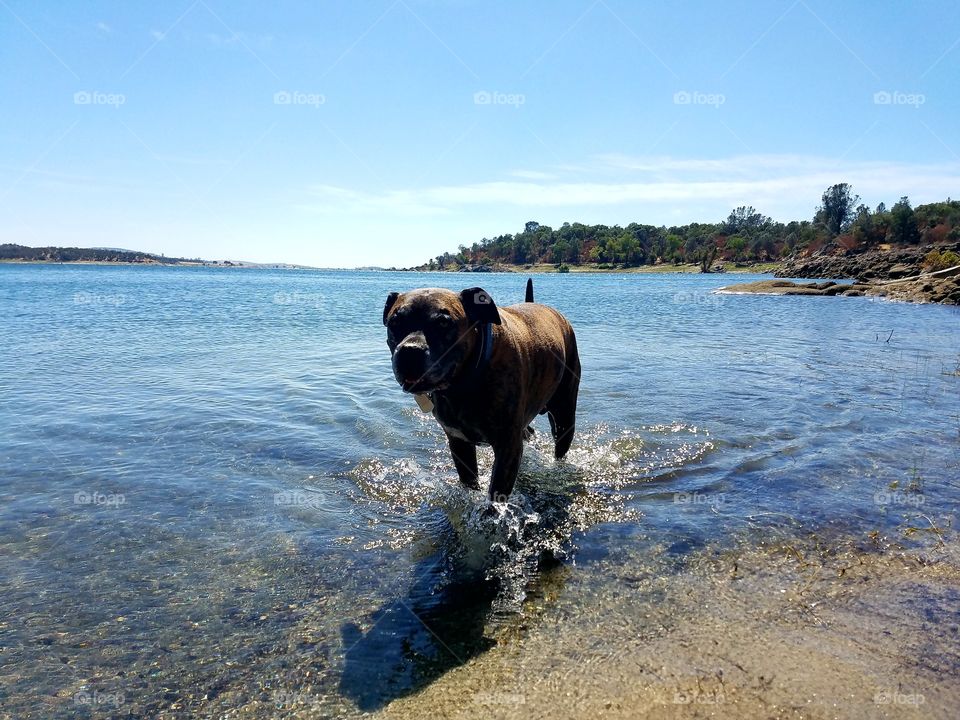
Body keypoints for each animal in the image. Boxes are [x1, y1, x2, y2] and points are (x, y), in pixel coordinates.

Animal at [380, 278, 576, 504]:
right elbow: (469, 482)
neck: (463, 384)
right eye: (394, 323)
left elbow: (495, 497)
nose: (410, 351)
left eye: (443, 323)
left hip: (564, 418)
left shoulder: (507, 448)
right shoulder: (459, 443)